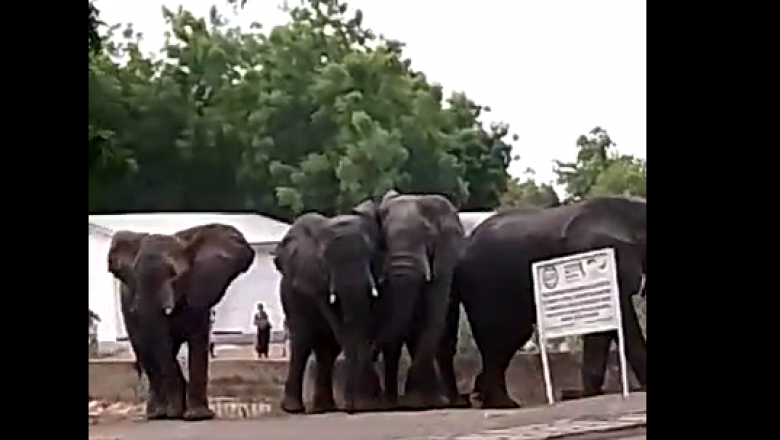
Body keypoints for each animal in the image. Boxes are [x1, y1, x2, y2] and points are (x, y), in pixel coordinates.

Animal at [106, 225, 253, 422]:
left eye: (174, 275)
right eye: (135, 276)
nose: (175, 413)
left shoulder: (198, 291)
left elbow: (197, 343)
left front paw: (198, 416)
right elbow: (161, 346)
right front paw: (176, 413)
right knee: (145, 352)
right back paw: (156, 414)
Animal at [272, 211, 382, 414]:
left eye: (370, 255)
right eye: (325, 260)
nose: (352, 407)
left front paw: (365, 403)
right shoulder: (316, 280)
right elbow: (340, 326)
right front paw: (361, 403)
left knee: (326, 350)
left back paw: (324, 408)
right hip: (291, 300)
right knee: (302, 343)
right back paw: (294, 409)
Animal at [356, 191, 466, 410]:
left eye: (428, 237)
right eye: (384, 241)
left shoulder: (443, 258)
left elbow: (433, 317)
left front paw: (419, 400)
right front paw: (412, 400)